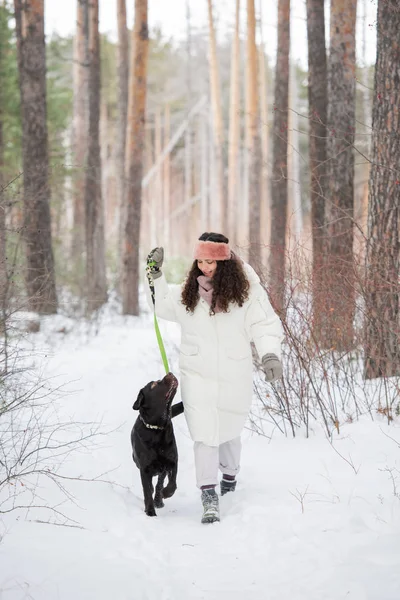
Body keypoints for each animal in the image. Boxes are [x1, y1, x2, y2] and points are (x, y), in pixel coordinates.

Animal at [131, 370, 183, 516]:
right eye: (154, 385)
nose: (169, 373)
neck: (157, 429)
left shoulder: (172, 461)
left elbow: (172, 483)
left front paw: (166, 493)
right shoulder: (144, 469)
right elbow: (147, 492)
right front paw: (150, 513)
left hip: (162, 468)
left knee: (160, 482)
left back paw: (159, 500)